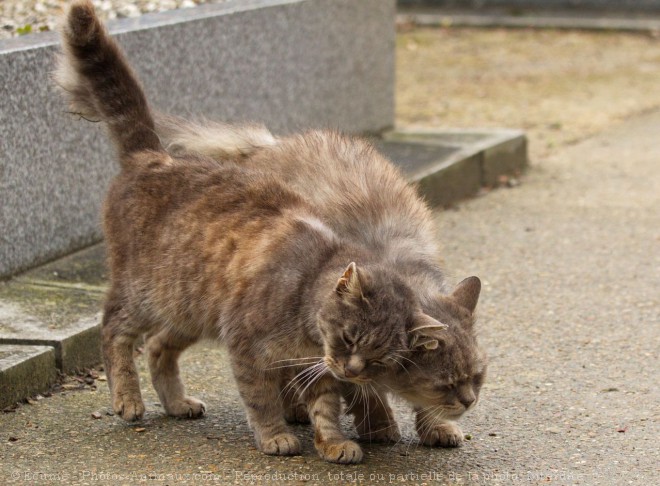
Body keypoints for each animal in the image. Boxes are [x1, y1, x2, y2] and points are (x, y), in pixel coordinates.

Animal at [56, 0, 488, 464]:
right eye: (447, 383)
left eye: (477, 377)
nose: (468, 402)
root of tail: (154, 157)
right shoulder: (261, 346)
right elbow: (289, 395)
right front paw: (370, 427)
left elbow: (331, 398)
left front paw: (424, 428)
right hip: (149, 292)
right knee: (114, 328)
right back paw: (129, 399)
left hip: (192, 307)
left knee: (157, 345)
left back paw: (180, 402)